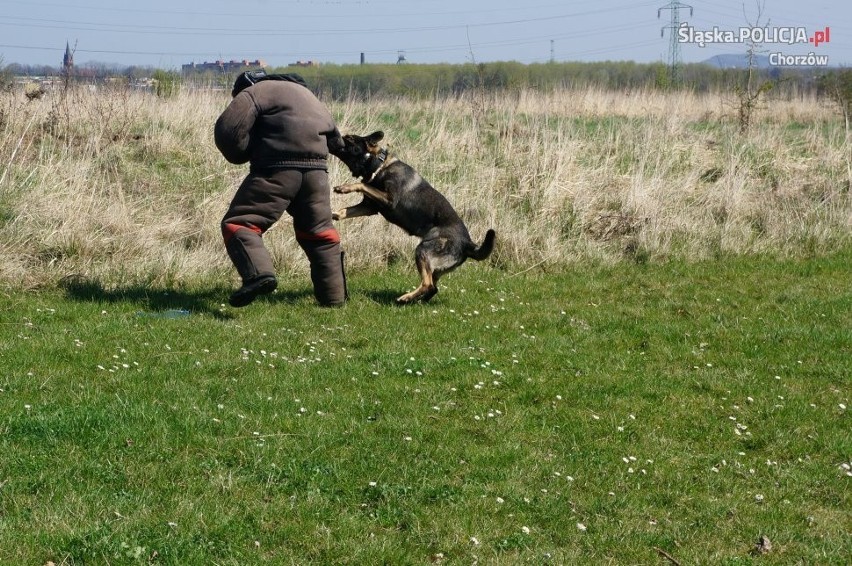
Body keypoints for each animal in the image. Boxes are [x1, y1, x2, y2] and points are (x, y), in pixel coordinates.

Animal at [332, 131, 496, 304]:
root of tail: (467, 244)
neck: (378, 165)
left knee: (428, 284)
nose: (335, 136)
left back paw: (405, 298)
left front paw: (344, 188)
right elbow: (346, 210)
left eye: (349, 138)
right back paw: (418, 301)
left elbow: (363, 185)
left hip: (423, 250)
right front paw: (334, 214)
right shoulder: (369, 207)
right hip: (434, 266)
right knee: (433, 287)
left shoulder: (388, 200)